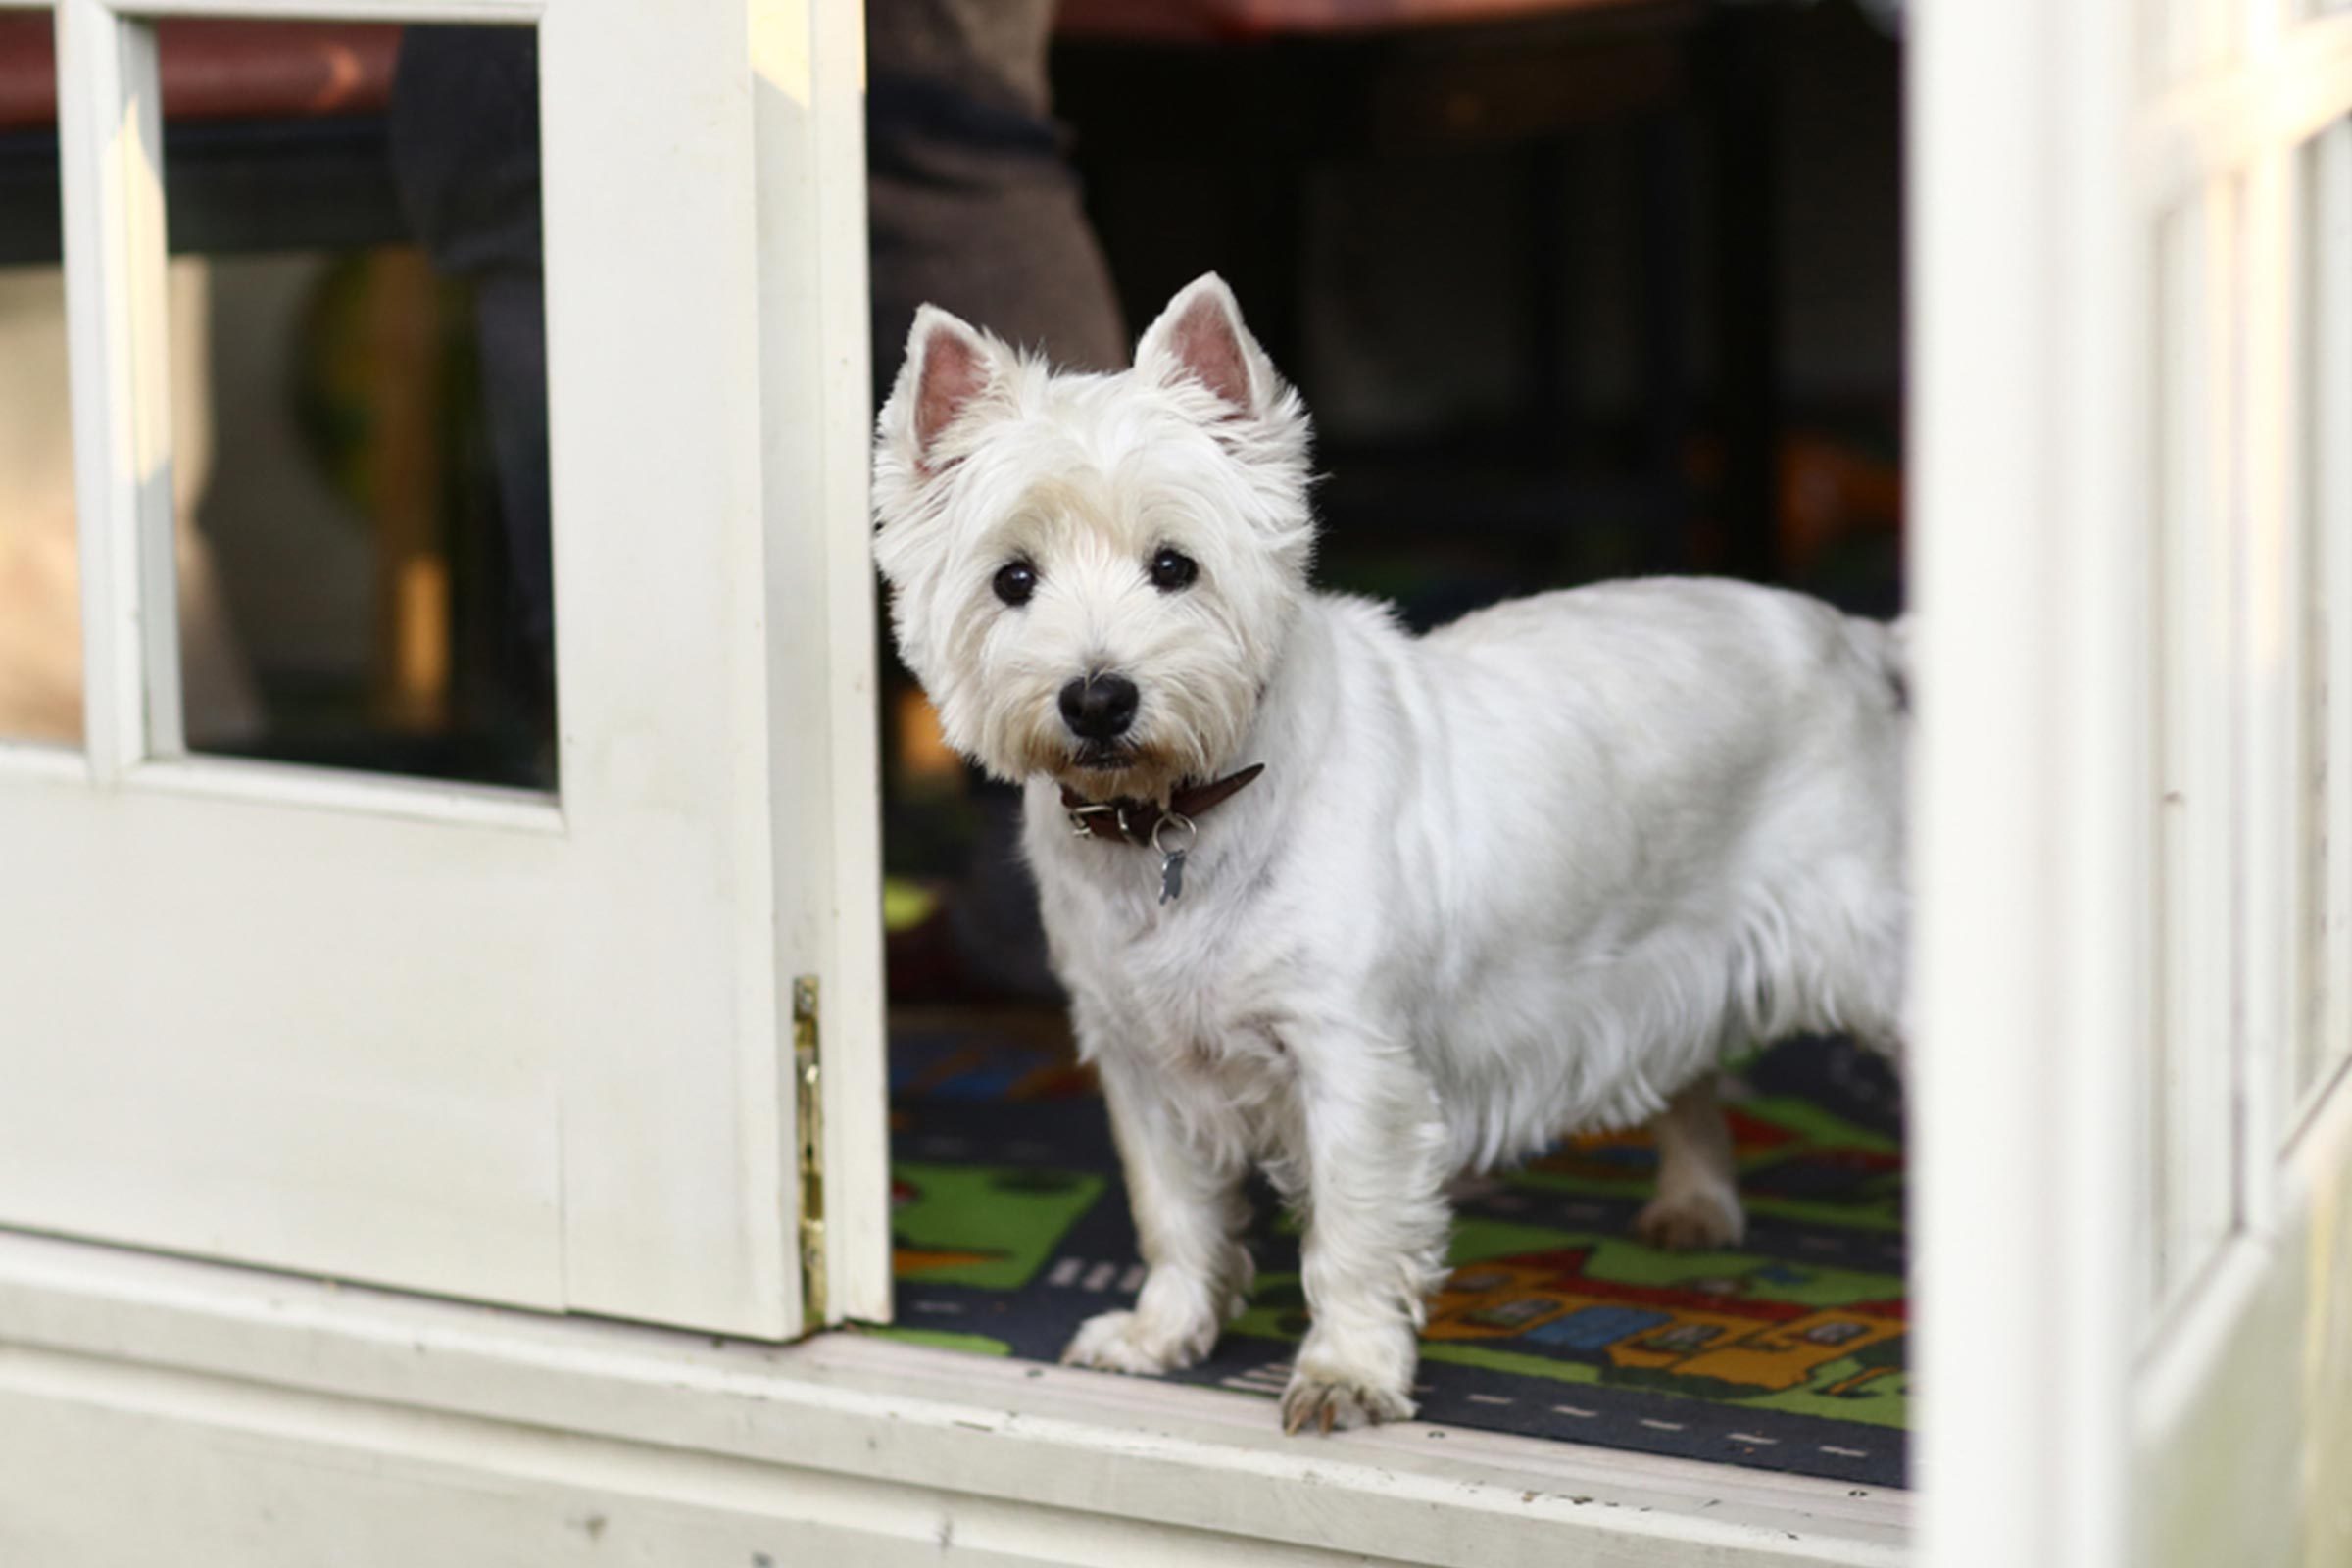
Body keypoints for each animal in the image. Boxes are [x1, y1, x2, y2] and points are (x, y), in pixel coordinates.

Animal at [874, 272, 1900, 1439]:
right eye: (1012, 579)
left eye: (1175, 566)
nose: (1097, 698)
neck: (1175, 821)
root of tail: (1845, 633)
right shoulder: (1139, 1057)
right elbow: (1173, 1210)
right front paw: (1160, 1333)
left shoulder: (1352, 1063)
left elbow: (1353, 1233)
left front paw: (1347, 1373)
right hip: (1668, 943)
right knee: (1682, 1070)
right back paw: (1695, 1203)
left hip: (1865, 944)